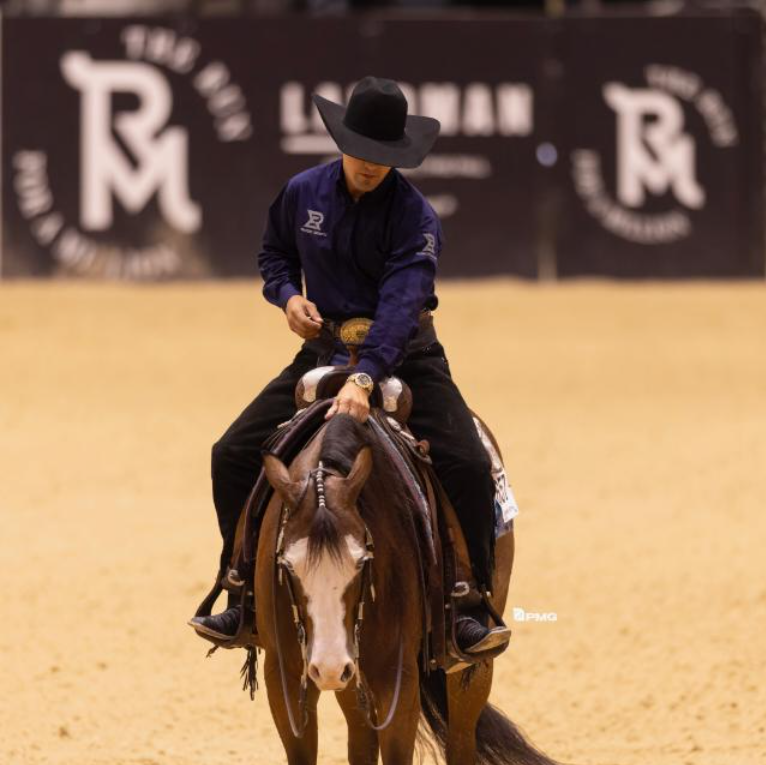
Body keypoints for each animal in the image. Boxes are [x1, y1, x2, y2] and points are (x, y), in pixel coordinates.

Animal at [255, 410, 563, 765]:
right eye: (288, 565)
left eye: (362, 561)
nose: (329, 666)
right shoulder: (285, 676)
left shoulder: (397, 680)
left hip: (470, 666)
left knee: (461, 739)